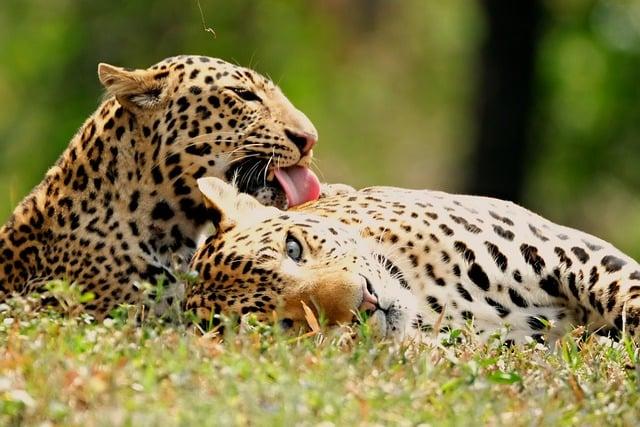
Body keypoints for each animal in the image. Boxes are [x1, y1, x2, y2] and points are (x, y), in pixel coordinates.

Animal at [184, 178, 640, 344]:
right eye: (289, 324)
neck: (432, 301)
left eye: (293, 249)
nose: (366, 301)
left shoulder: (568, 252)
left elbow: (627, 295)